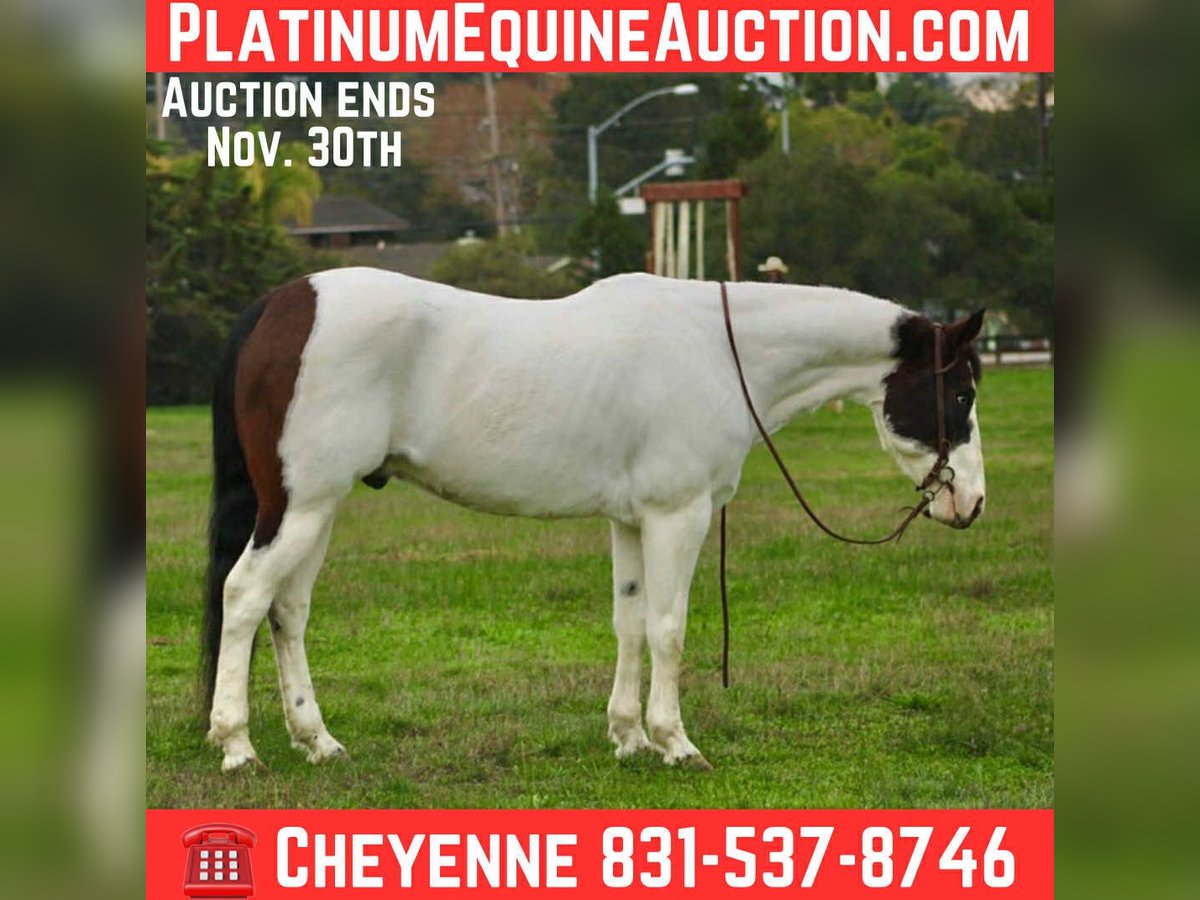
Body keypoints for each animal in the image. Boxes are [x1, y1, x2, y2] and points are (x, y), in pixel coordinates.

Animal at [202, 268, 985, 772]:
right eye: (961, 393)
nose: (971, 503)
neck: (716, 351)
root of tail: (282, 305)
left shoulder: (630, 522)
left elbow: (629, 623)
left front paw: (629, 736)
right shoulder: (677, 515)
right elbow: (669, 628)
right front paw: (675, 743)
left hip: (317, 508)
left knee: (288, 611)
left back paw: (317, 741)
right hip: (300, 506)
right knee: (244, 596)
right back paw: (237, 745)